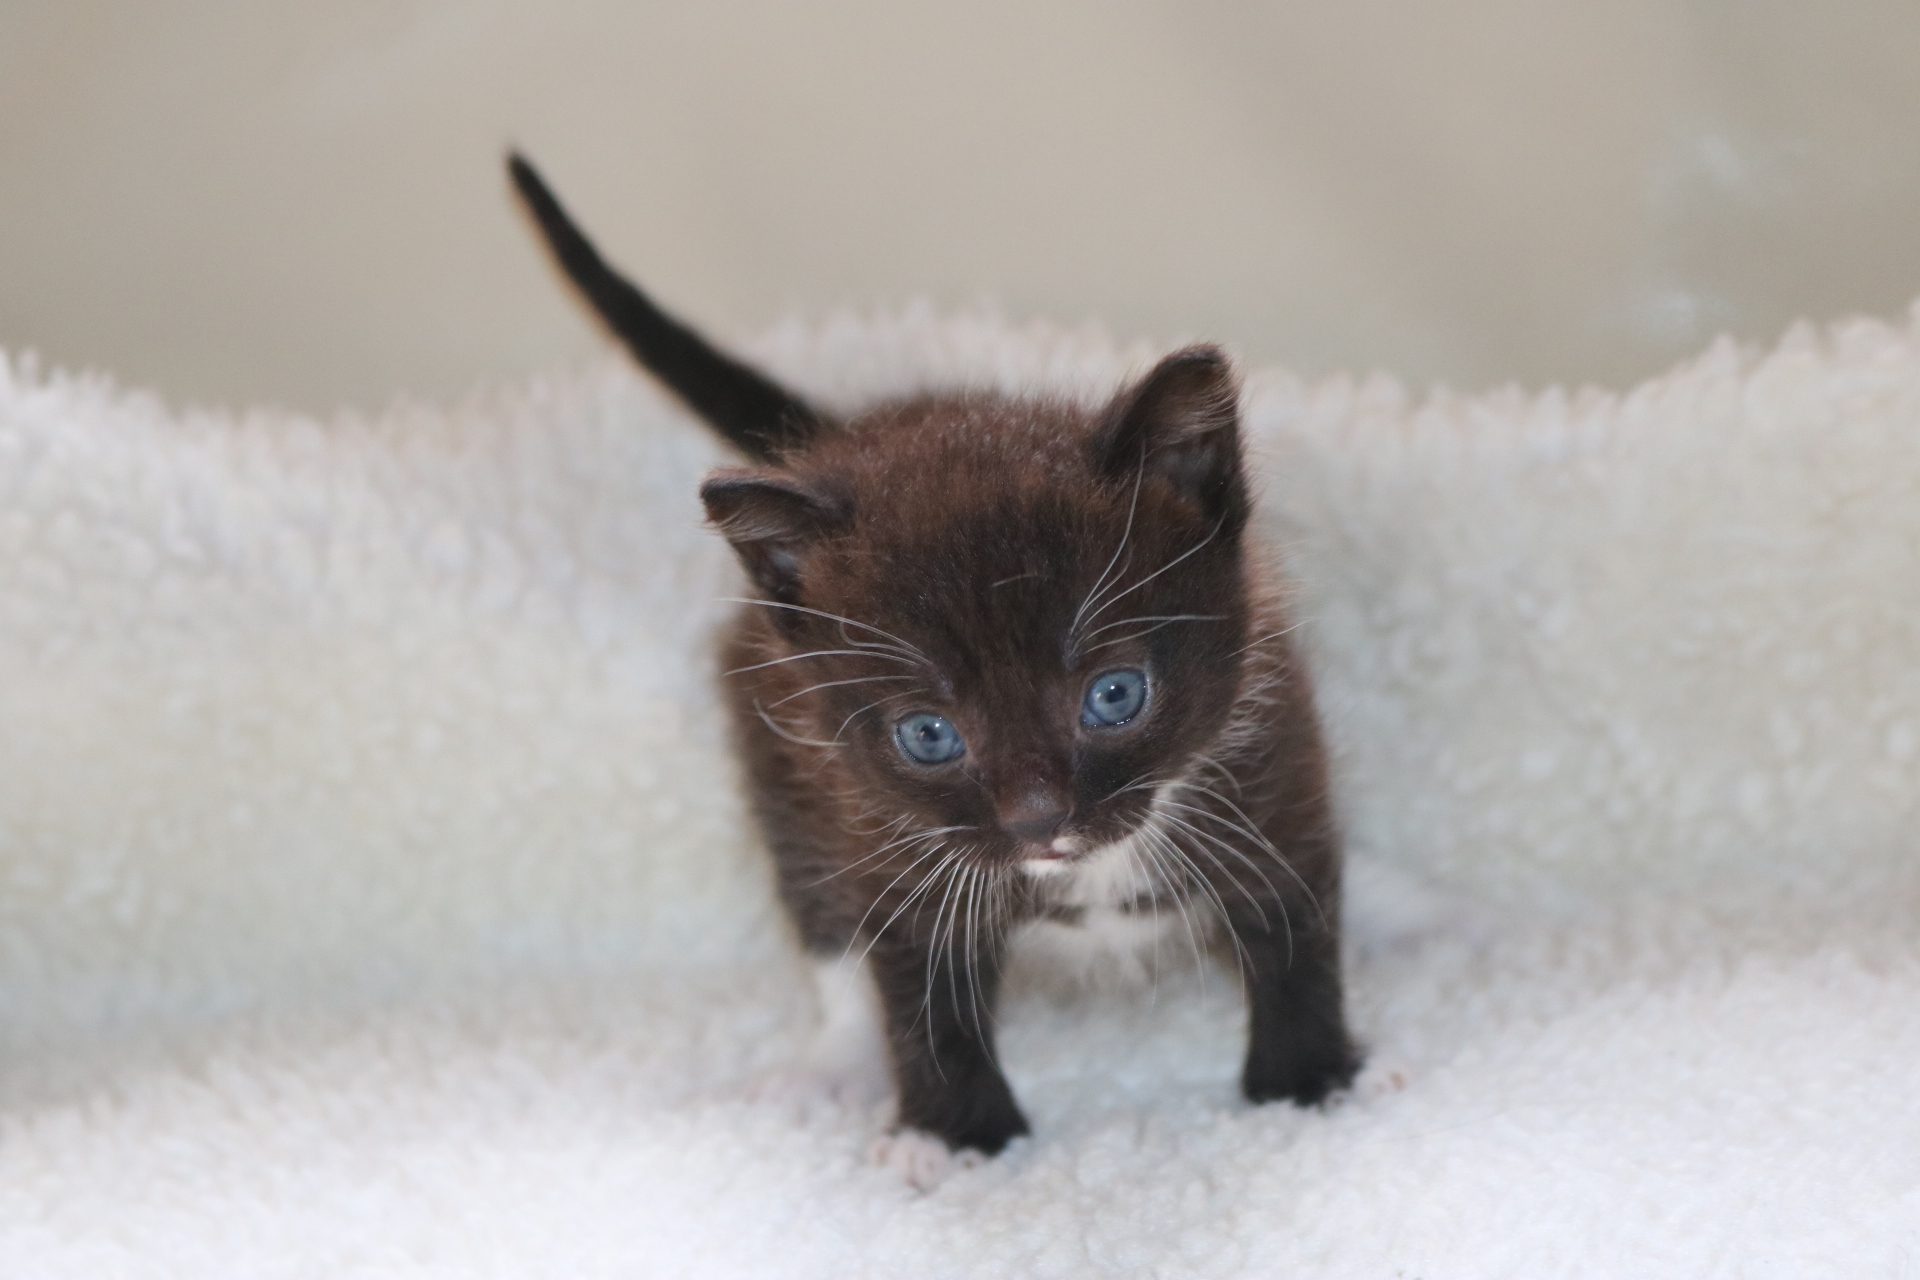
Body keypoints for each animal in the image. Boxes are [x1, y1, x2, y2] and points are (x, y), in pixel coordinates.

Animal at [508, 154, 1360, 1173]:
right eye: (928, 734)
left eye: (1115, 694)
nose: (1039, 819)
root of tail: (837, 440)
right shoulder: (888, 835)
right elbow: (917, 984)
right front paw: (953, 1142)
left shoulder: (1276, 754)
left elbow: (1294, 924)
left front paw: (1310, 1085)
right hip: (783, 770)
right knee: (828, 933)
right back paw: (833, 1065)